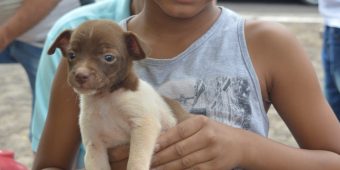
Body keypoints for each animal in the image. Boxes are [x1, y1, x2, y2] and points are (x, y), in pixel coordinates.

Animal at [48, 20, 185, 170]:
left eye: (109, 58)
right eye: (71, 55)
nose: (80, 75)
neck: (104, 99)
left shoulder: (144, 125)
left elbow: (135, 161)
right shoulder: (94, 144)